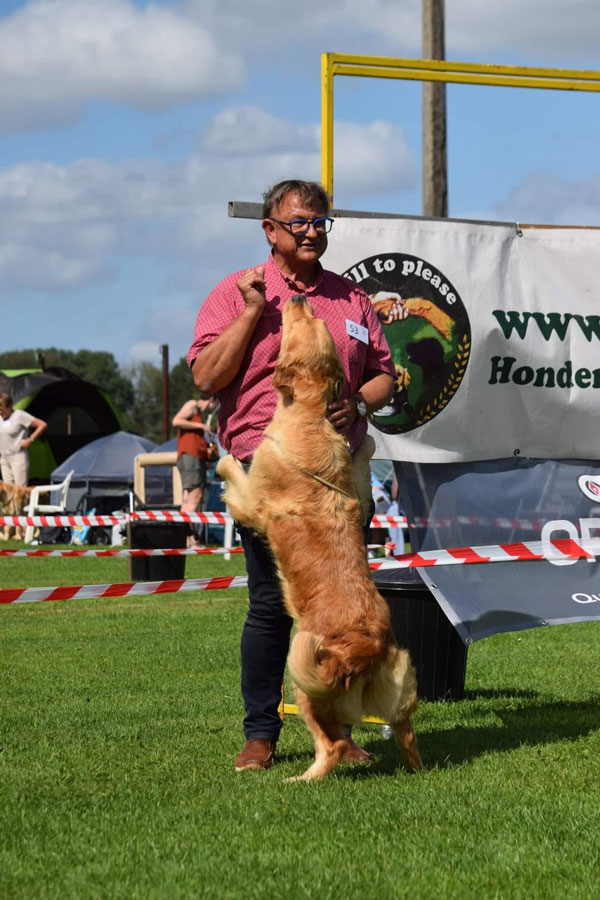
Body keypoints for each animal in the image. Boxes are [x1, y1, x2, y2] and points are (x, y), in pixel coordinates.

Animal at [217, 298, 422, 780]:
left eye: (299, 324)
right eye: (313, 320)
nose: (296, 299)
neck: (310, 412)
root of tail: (367, 647)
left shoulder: (253, 504)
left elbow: (236, 475)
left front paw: (223, 454)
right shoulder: (357, 493)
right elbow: (361, 465)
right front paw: (364, 444)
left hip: (306, 684)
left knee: (331, 745)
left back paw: (301, 779)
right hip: (398, 678)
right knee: (405, 731)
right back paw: (417, 768)